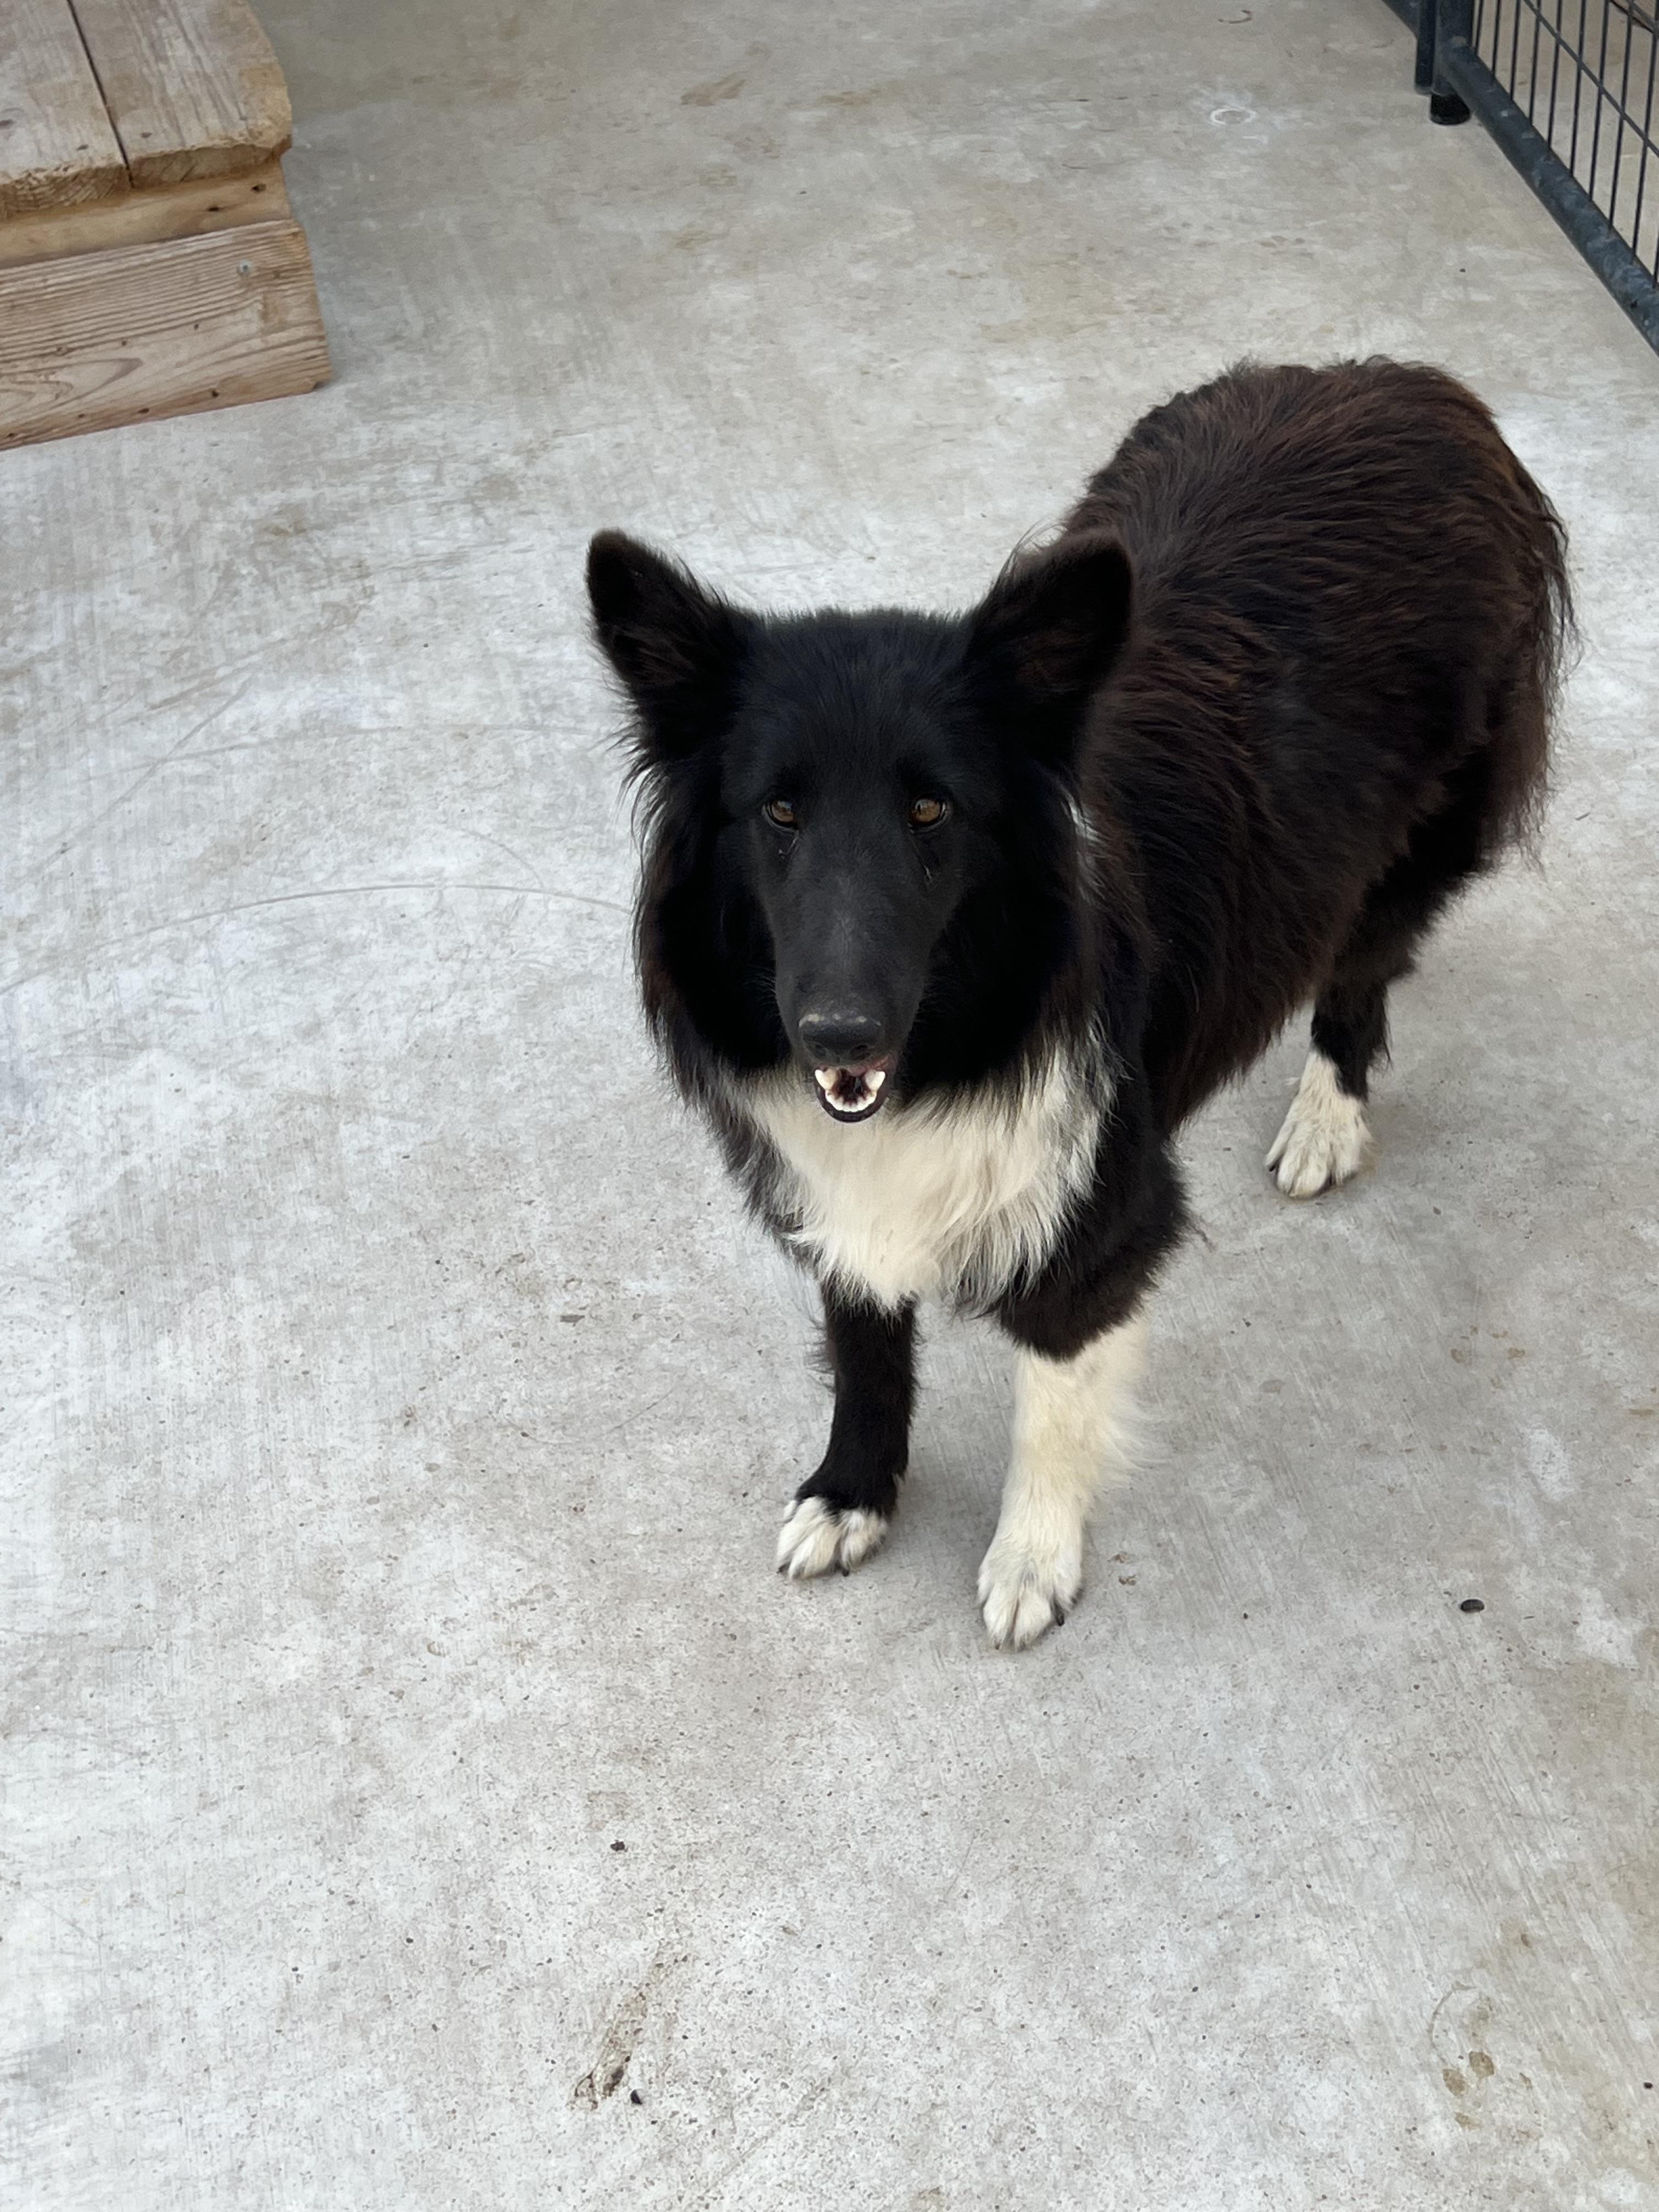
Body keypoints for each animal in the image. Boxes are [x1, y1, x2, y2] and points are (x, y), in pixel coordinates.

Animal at [587, 359, 1570, 1649]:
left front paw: (1030, 1560)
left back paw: (1325, 1118)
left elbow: (1050, 1405)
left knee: (1360, 971)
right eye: (778, 811)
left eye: (931, 809)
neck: (953, 1040)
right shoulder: (842, 1182)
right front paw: (851, 1495)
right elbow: (862, 1343)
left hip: (1415, 834)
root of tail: (1413, 382)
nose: (839, 1035)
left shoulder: (1098, 1207)